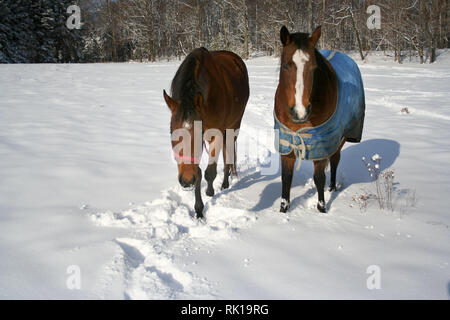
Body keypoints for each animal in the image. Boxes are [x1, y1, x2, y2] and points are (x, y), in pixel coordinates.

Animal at [163, 47, 248, 218]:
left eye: (199, 132)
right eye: (171, 132)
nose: (186, 180)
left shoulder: (216, 134)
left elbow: (209, 172)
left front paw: (209, 192)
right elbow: (199, 173)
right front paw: (198, 210)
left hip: (234, 127)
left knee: (228, 155)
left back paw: (225, 183)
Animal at [274, 26, 366, 214]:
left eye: (314, 67)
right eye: (285, 65)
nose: (300, 112)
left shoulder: (322, 144)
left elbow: (319, 177)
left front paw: (322, 208)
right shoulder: (287, 142)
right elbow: (286, 177)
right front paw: (283, 209)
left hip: (339, 138)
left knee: (335, 160)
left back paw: (332, 188)